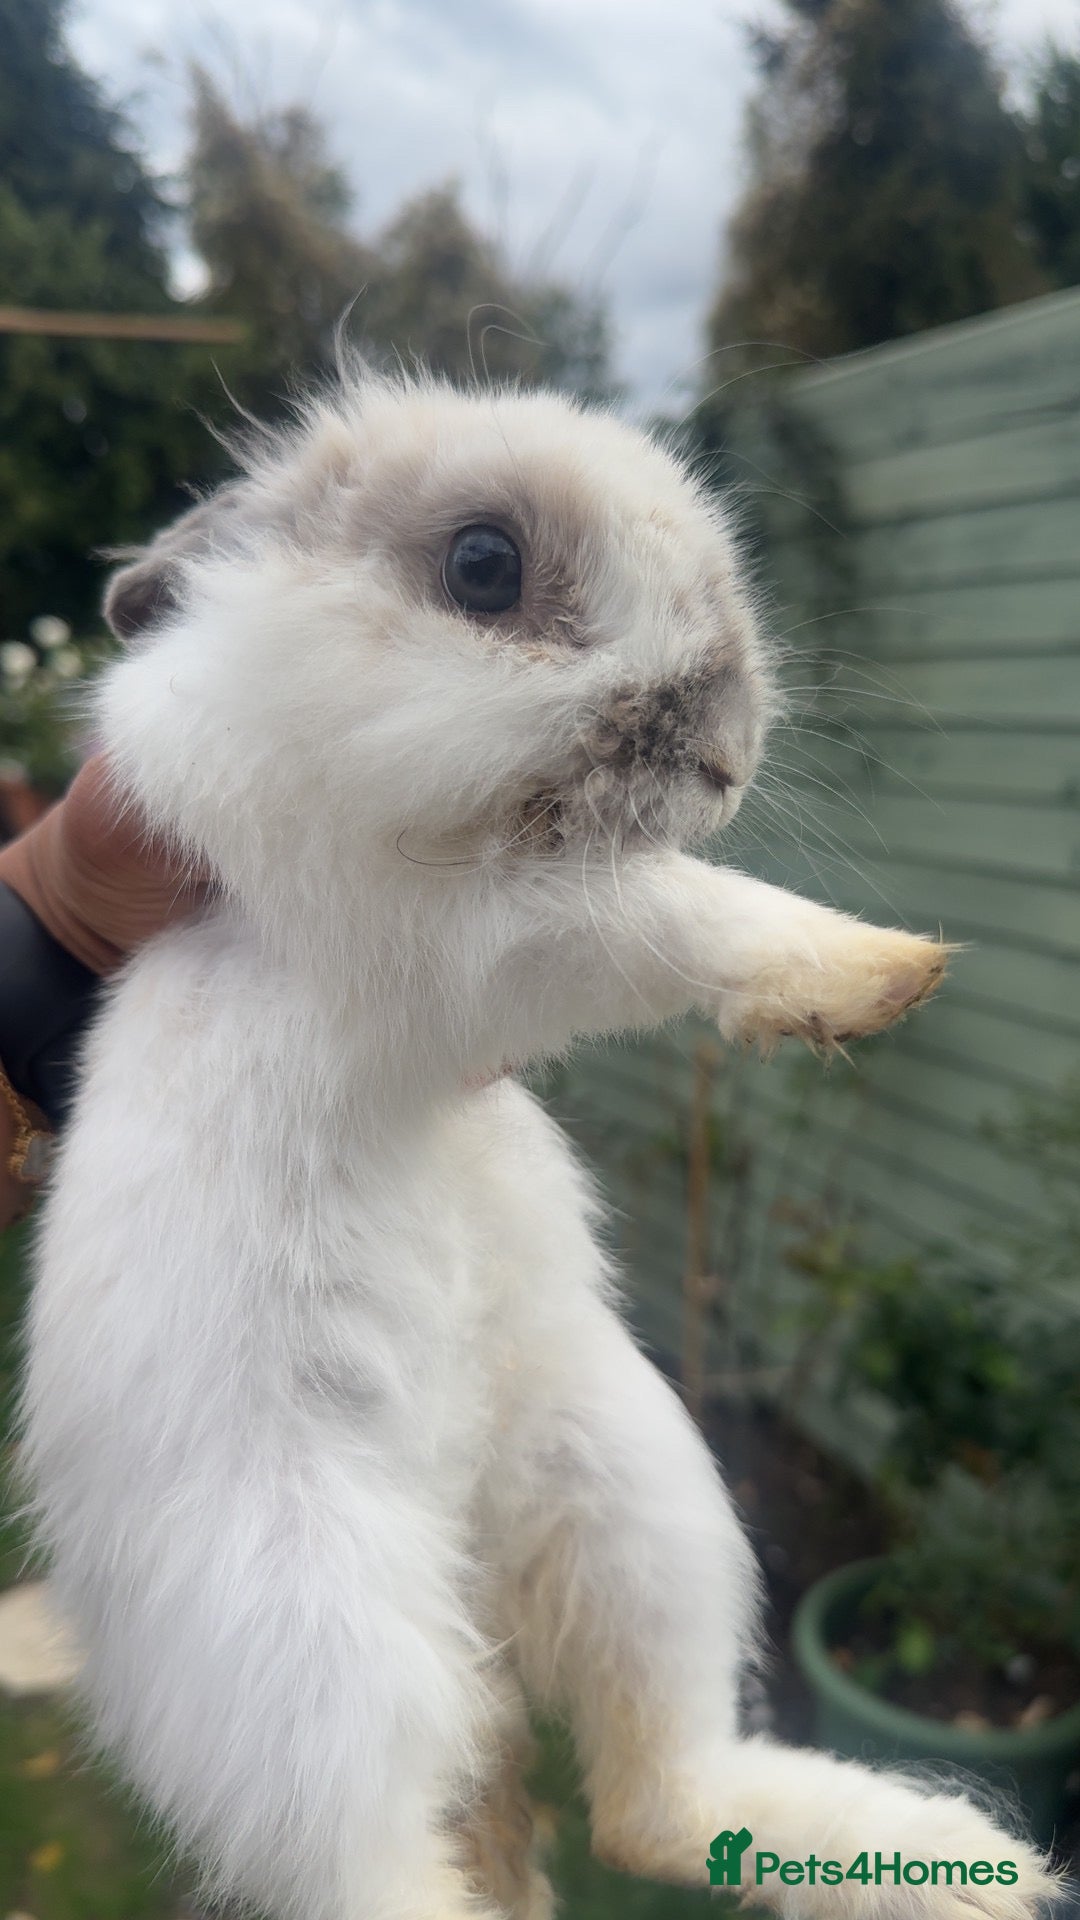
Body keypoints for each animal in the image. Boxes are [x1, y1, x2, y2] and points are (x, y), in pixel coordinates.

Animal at [21, 371, 1056, 1920]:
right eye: (483, 565)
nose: (729, 749)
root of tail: (469, 1558)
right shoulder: (474, 934)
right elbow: (669, 907)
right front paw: (873, 968)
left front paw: (882, 974)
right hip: (312, 1643)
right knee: (386, 1857)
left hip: (639, 1497)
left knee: (654, 1801)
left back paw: (949, 1857)